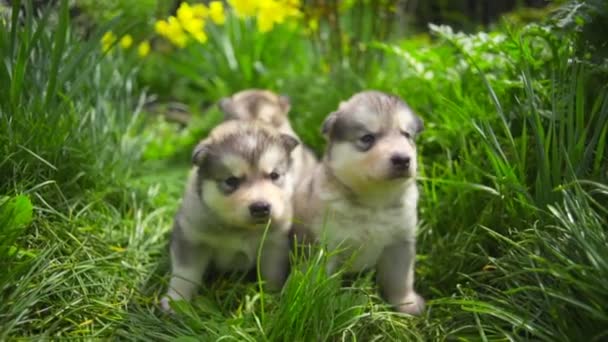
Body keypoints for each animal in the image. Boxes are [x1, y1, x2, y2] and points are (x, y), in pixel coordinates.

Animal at [162, 120, 300, 312]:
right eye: (231, 181)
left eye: (274, 175)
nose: (261, 207)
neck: (240, 230)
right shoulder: (191, 237)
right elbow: (185, 273)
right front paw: (176, 300)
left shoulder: (274, 245)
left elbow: (272, 274)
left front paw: (270, 299)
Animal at [292, 90, 426, 316]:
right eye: (367, 138)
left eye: (406, 135)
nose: (402, 159)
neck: (375, 202)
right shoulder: (328, 247)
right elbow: (324, 282)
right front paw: (325, 307)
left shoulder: (400, 242)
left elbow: (401, 278)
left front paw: (406, 303)